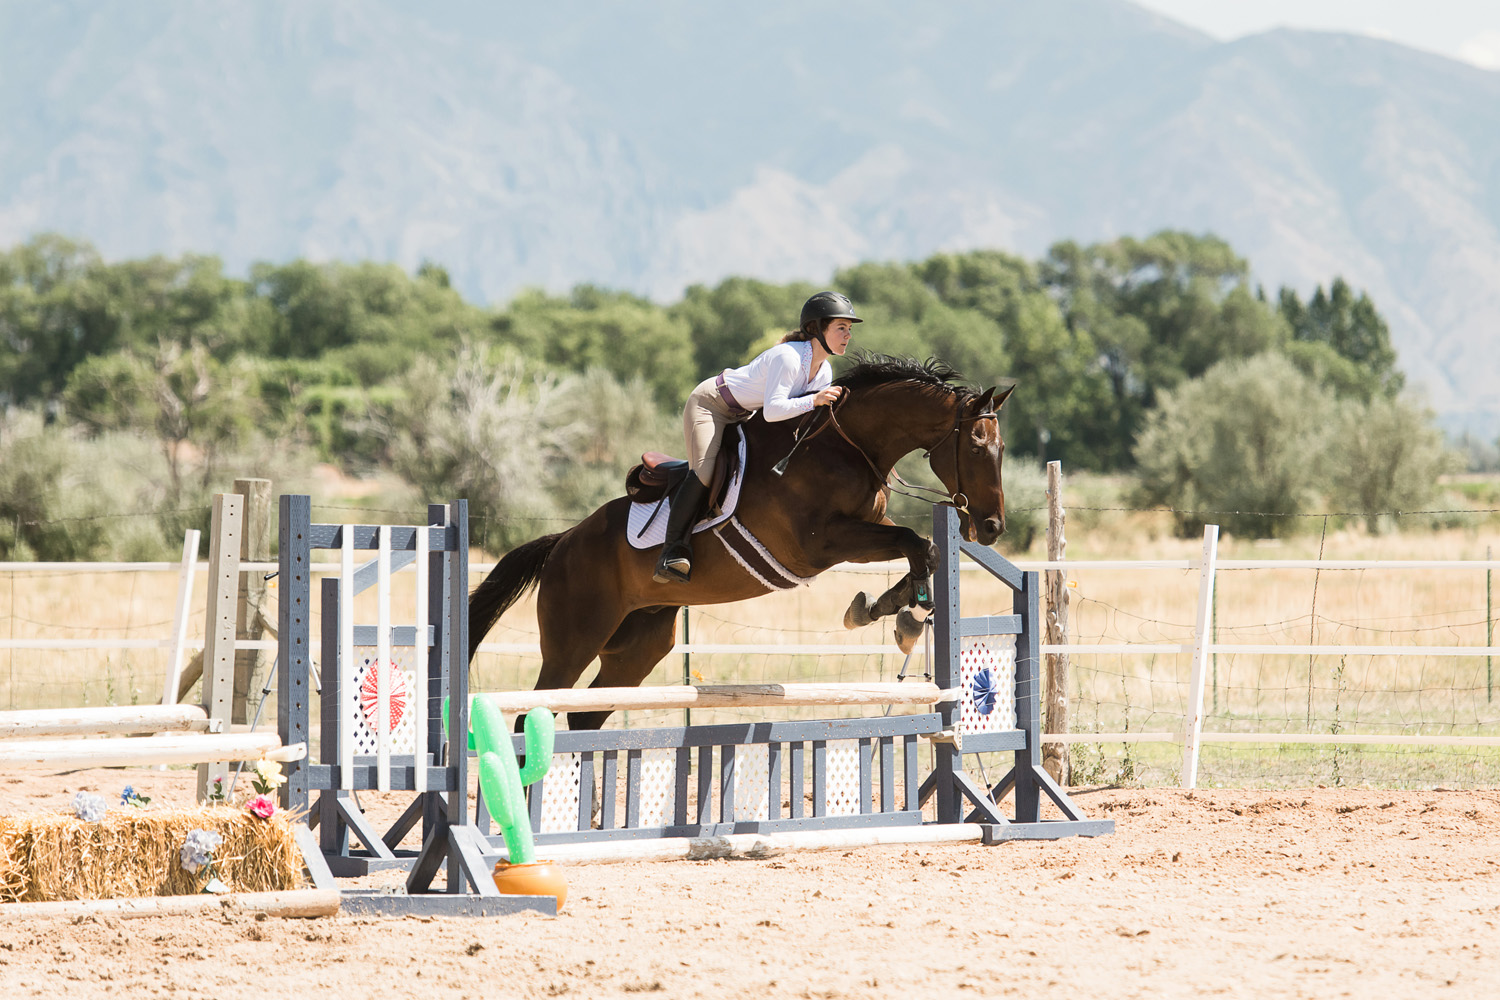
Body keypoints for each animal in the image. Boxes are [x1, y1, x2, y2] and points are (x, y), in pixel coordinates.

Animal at [468, 354, 1014, 729]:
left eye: (1002, 447)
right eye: (976, 446)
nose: (991, 528)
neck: (846, 446)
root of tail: (563, 542)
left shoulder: (855, 536)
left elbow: (922, 547)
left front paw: (893, 606)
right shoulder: (821, 544)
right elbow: (915, 542)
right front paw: (903, 616)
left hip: (638, 646)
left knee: (587, 716)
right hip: (574, 639)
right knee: (533, 713)